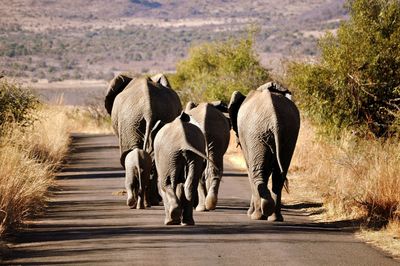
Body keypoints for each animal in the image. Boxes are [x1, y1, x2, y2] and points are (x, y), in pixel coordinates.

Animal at [105, 71, 182, 205]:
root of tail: (148, 110)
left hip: (129, 123)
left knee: (128, 154)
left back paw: (141, 201)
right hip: (157, 118)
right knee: (155, 158)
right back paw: (151, 201)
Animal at [228, 82, 300, 221]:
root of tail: (274, 118)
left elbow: (250, 169)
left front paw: (251, 213)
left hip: (255, 133)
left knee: (257, 172)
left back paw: (257, 215)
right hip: (288, 133)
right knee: (279, 176)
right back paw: (275, 217)